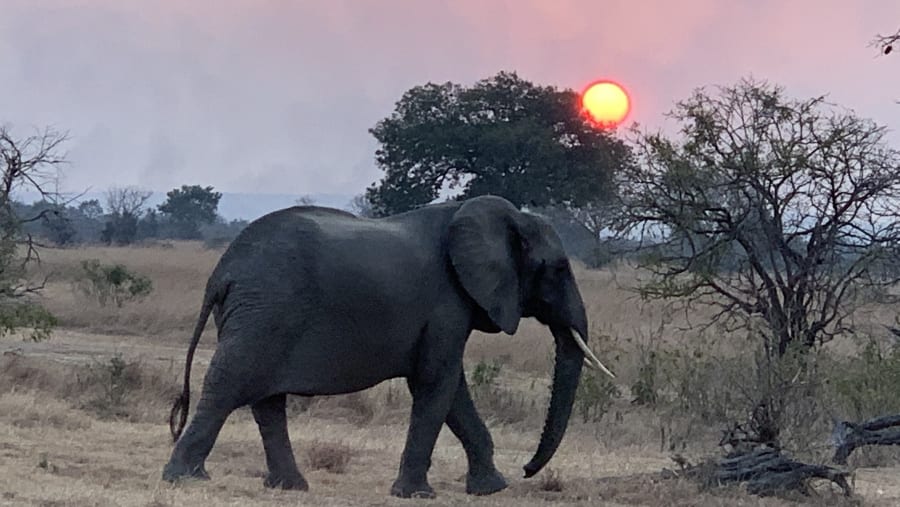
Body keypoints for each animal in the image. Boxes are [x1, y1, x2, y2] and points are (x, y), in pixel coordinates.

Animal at [161, 194, 613, 498]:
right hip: (267, 308)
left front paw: (491, 489)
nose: (526, 470)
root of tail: (223, 271)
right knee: (230, 382)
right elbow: (436, 383)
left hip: (261, 314)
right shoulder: (446, 302)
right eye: (558, 269)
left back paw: (290, 487)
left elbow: (450, 388)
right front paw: (418, 495)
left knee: (266, 400)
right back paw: (184, 478)